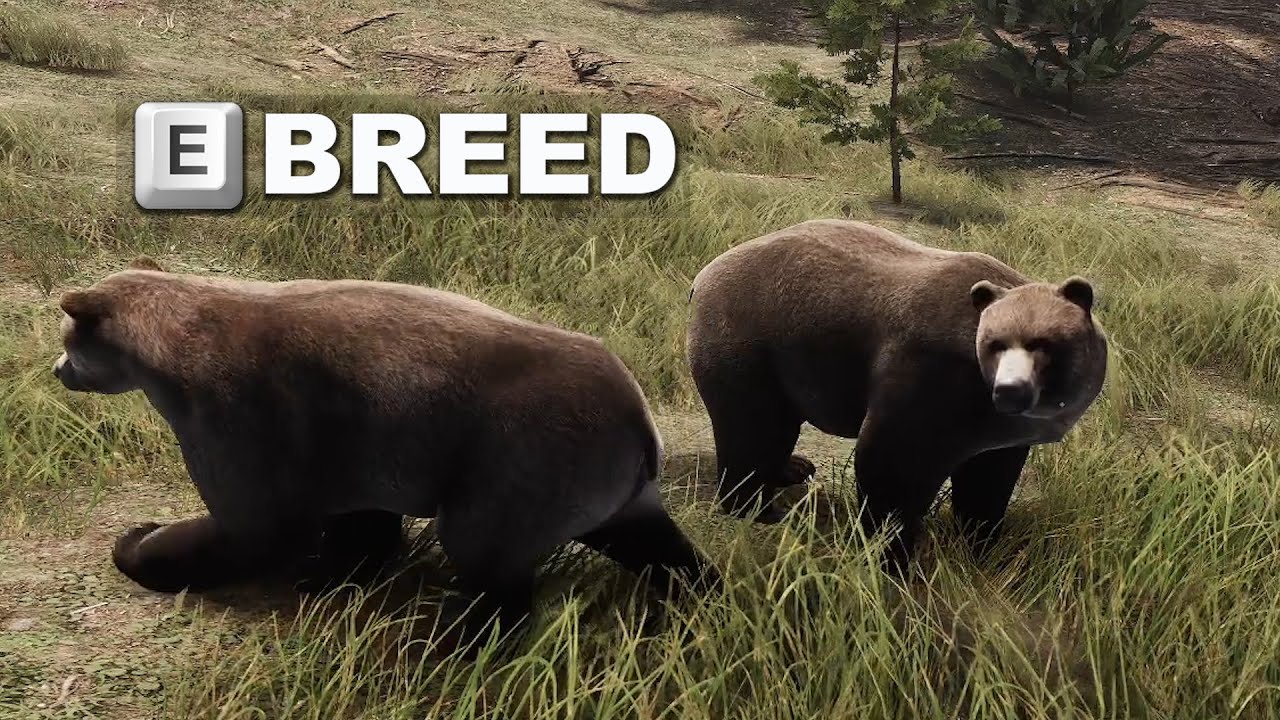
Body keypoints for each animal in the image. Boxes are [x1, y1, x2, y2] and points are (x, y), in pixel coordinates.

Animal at [53, 257, 719, 653]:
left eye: (70, 341)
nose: (58, 367)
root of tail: (640, 420)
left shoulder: (237, 415)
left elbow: (254, 527)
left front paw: (139, 540)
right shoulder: (358, 444)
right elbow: (361, 526)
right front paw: (328, 573)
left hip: (525, 458)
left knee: (490, 561)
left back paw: (459, 639)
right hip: (610, 487)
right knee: (658, 546)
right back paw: (697, 600)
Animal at [686, 219, 1107, 573]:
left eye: (1044, 344)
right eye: (995, 344)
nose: (1010, 390)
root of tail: (704, 274)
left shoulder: (997, 431)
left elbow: (988, 480)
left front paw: (982, 541)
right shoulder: (931, 375)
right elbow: (894, 462)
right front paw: (890, 550)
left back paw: (793, 468)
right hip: (755, 344)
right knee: (753, 427)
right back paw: (758, 507)